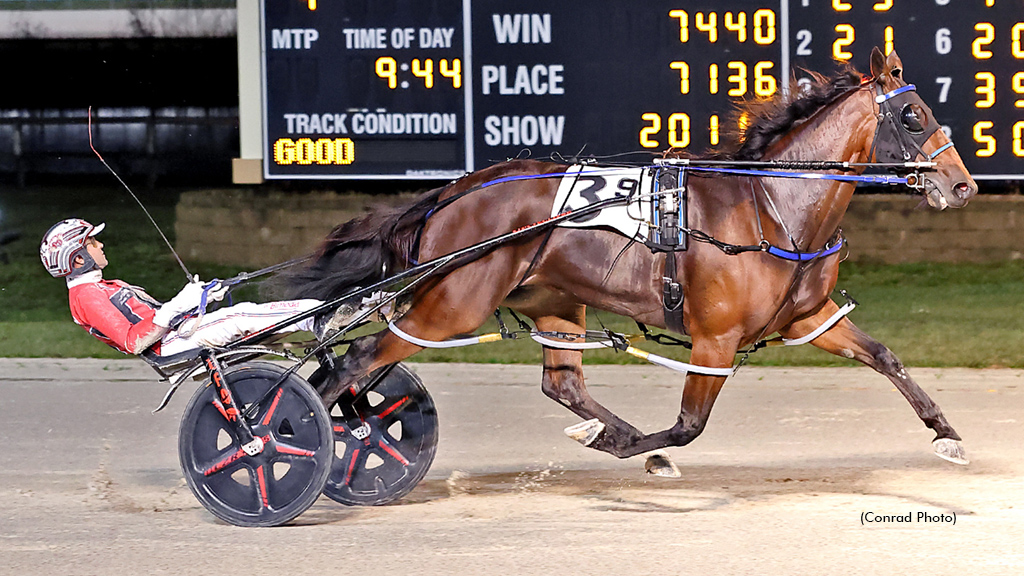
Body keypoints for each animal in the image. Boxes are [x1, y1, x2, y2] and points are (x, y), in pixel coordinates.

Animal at [278, 48, 974, 471]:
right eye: (913, 116)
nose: (963, 185)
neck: (771, 202)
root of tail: (455, 190)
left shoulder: (807, 316)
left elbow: (884, 356)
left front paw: (946, 433)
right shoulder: (714, 338)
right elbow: (688, 424)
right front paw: (648, 450)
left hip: (554, 301)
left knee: (559, 383)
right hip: (450, 305)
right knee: (356, 362)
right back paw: (284, 433)